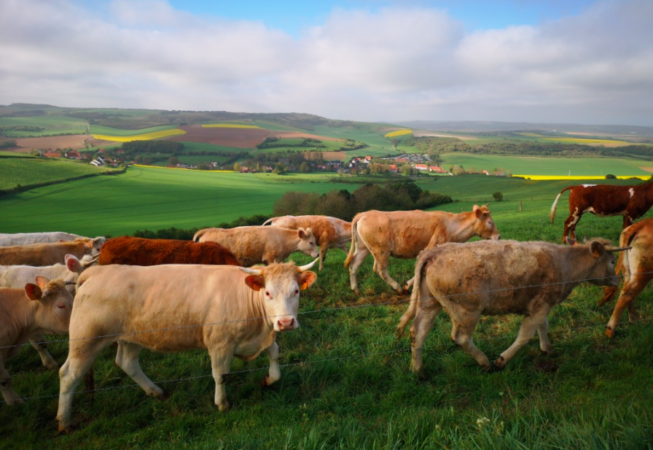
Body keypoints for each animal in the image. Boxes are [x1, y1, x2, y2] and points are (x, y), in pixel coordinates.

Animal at [57, 260, 318, 432]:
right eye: (268, 292)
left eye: (296, 291)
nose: (286, 322)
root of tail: (96, 272)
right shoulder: (219, 343)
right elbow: (220, 375)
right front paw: (222, 404)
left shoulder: (257, 337)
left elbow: (275, 354)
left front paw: (269, 379)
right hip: (86, 339)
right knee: (69, 374)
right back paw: (64, 421)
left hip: (131, 337)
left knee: (127, 363)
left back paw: (156, 392)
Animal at [344, 205, 502, 296]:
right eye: (489, 222)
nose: (498, 237)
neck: (452, 227)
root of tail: (363, 214)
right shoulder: (429, 248)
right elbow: (421, 270)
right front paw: (407, 286)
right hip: (381, 250)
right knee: (379, 269)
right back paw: (398, 288)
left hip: (363, 248)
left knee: (354, 264)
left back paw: (355, 289)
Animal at [398, 239, 620, 376]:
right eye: (612, 261)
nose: (617, 279)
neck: (565, 263)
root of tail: (435, 251)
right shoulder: (540, 305)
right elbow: (525, 335)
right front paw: (502, 360)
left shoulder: (542, 305)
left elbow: (543, 326)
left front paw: (547, 348)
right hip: (466, 310)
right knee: (460, 338)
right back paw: (485, 363)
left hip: (429, 303)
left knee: (418, 332)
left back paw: (419, 371)